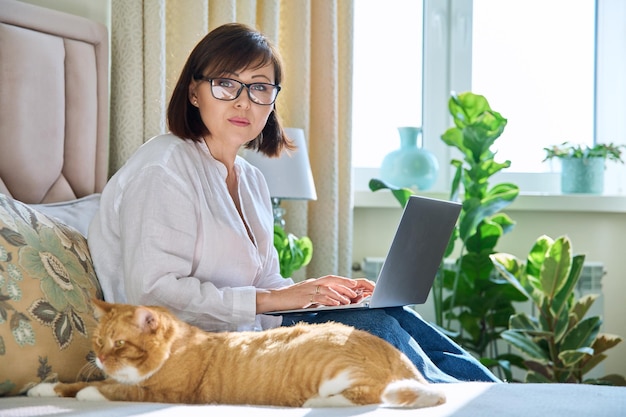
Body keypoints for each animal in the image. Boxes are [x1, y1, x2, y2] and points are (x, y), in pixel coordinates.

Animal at [28, 298, 444, 408]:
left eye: (119, 344)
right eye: (99, 342)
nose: (99, 358)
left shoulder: (167, 392)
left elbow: (108, 389)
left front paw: (87, 392)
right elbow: (69, 384)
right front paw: (43, 389)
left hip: (335, 370)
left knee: (372, 395)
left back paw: (317, 402)